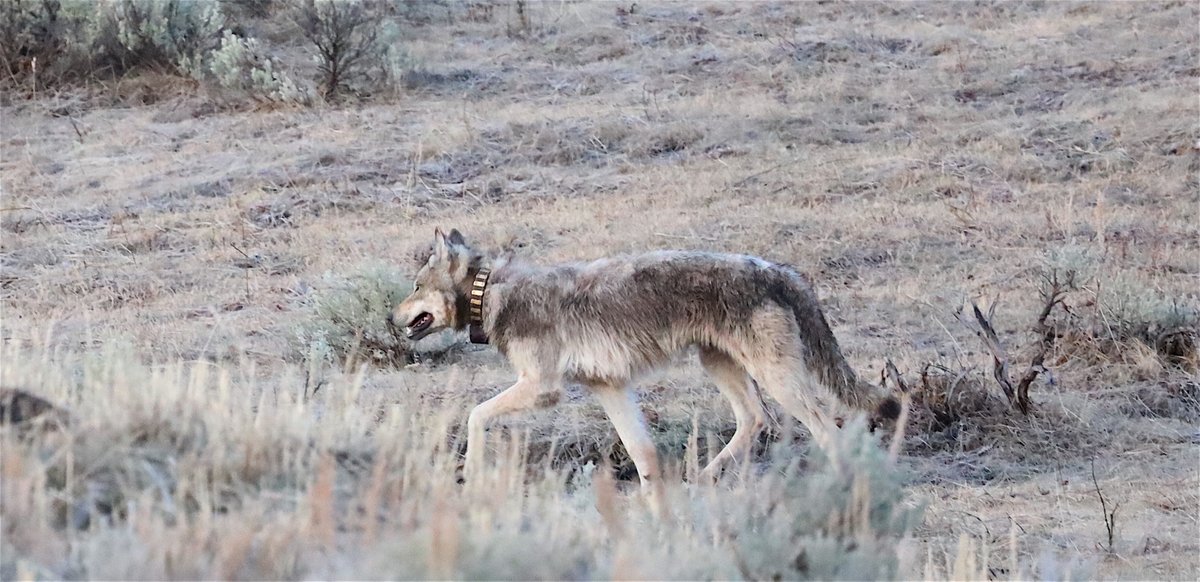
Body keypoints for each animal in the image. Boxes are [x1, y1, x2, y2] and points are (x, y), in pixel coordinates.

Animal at [390, 229, 900, 509]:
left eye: (414, 287)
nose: (391, 319)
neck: (491, 290)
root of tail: (780, 270)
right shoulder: (610, 388)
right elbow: (644, 454)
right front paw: (654, 506)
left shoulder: (542, 387)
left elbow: (475, 415)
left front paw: (474, 471)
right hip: (721, 366)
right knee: (756, 420)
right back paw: (704, 478)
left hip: (776, 379)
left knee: (826, 427)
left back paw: (846, 484)